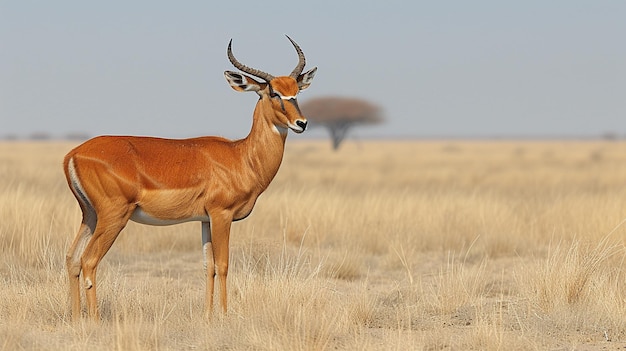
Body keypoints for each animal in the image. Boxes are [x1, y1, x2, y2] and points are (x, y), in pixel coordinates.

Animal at [62, 36, 316, 322]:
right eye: (273, 92)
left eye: (296, 91)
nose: (301, 123)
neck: (241, 156)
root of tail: (73, 154)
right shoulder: (221, 215)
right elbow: (224, 264)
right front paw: (224, 315)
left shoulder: (205, 220)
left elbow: (208, 266)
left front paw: (207, 315)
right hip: (113, 217)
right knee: (89, 261)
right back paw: (93, 319)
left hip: (90, 216)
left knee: (72, 258)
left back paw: (76, 318)